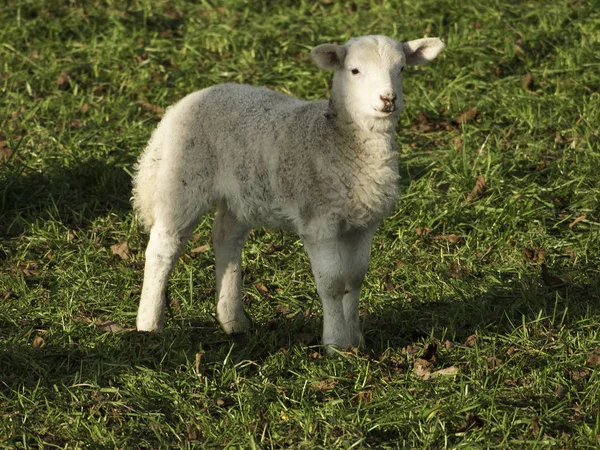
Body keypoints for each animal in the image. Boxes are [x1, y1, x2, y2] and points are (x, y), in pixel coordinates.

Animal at [134, 35, 442, 352]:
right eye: (355, 70)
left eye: (402, 69)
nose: (388, 99)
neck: (338, 140)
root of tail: (176, 108)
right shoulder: (319, 221)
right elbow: (332, 282)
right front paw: (335, 343)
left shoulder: (364, 222)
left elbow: (354, 279)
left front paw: (355, 340)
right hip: (183, 180)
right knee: (163, 247)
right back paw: (149, 324)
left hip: (241, 190)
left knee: (225, 238)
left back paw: (233, 320)